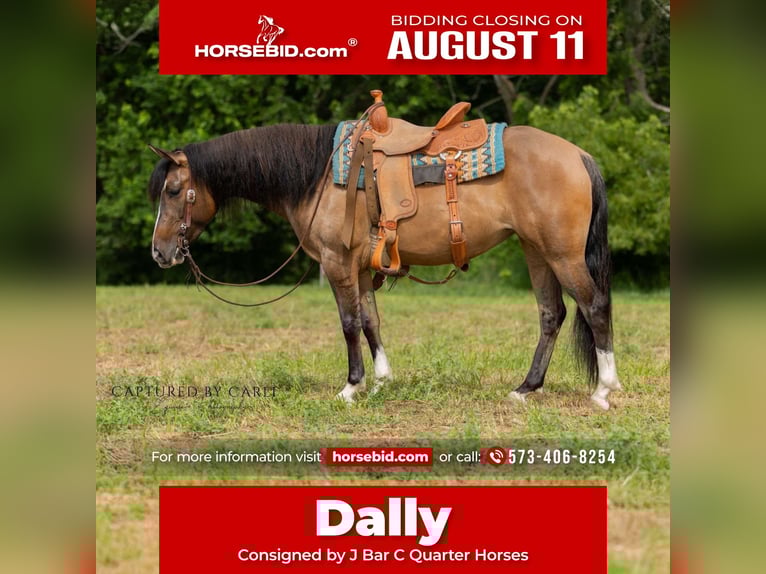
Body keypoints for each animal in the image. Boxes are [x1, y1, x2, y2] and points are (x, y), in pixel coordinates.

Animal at [147, 117, 623, 410]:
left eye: (173, 190)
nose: (159, 253)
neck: (318, 176)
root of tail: (579, 155)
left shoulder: (338, 263)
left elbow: (348, 324)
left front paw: (351, 386)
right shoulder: (360, 268)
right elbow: (370, 321)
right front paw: (380, 380)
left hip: (562, 254)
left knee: (594, 306)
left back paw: (603, 389)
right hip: (535, 250)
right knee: (552, 314)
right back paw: (525, 388)